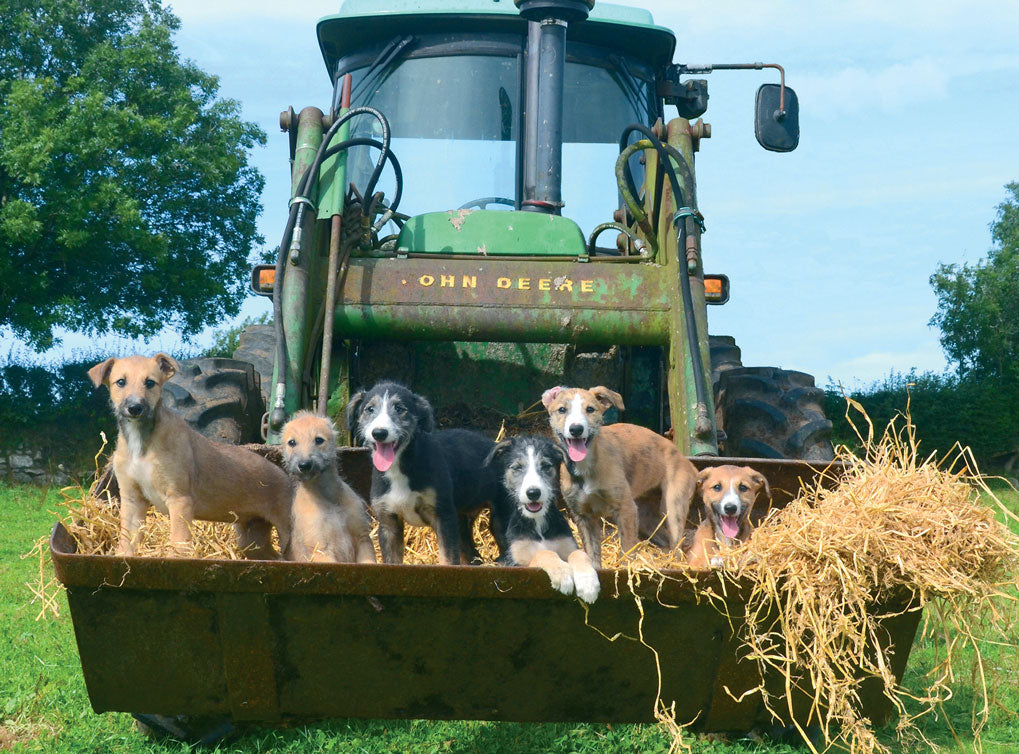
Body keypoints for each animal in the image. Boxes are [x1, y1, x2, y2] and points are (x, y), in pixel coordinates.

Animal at [89, 354, 293, 558]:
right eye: (120, 382)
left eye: (150, 383)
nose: (135, 407)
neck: (141, 442)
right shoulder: (133, 500)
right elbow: (126, 544)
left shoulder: (179, 499)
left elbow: (177, 544)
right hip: (251, 539)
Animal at [281, 411, 377, 566]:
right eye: (292, 442)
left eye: (319, 440)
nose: (304, 465)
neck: (329, 497)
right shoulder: (320, 549)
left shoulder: (362, 538)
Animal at [483, 436, 595, 599]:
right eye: (517, 467)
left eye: (546, 466)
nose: (533, 493)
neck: (537, 523)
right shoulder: (514, 562)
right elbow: (543, 553)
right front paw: (562, 573)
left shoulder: (567, 544)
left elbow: (579, 553)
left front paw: (588, 583)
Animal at [542, 389, 701, 566]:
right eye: (562, 410)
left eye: (590, 409)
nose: (576, 429)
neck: (586, 466)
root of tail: (689, 463)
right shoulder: (583, 516)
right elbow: (592, 555)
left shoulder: (626, 509)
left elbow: (627, 550)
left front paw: (627, 566)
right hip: (645, 517)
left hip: (673, 507)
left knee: (677, 547)